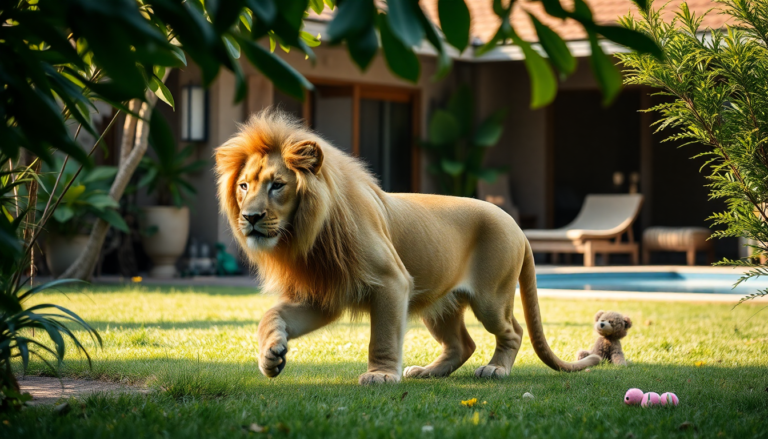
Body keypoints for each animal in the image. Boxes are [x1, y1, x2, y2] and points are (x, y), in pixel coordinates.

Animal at [215, 109, 600, 385]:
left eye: (277, 185)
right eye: (244, 185)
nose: (250, 217)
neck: (306, 236)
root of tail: (517, 226)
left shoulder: (391, 282)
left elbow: (382, 335)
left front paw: (381, 375)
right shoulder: (323, 294)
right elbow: (272, 315)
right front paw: (271, 354)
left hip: (491, 298)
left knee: (512, 331)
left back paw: (496, 369)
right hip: (440, 304)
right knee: (462, 343)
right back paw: (427, 372)